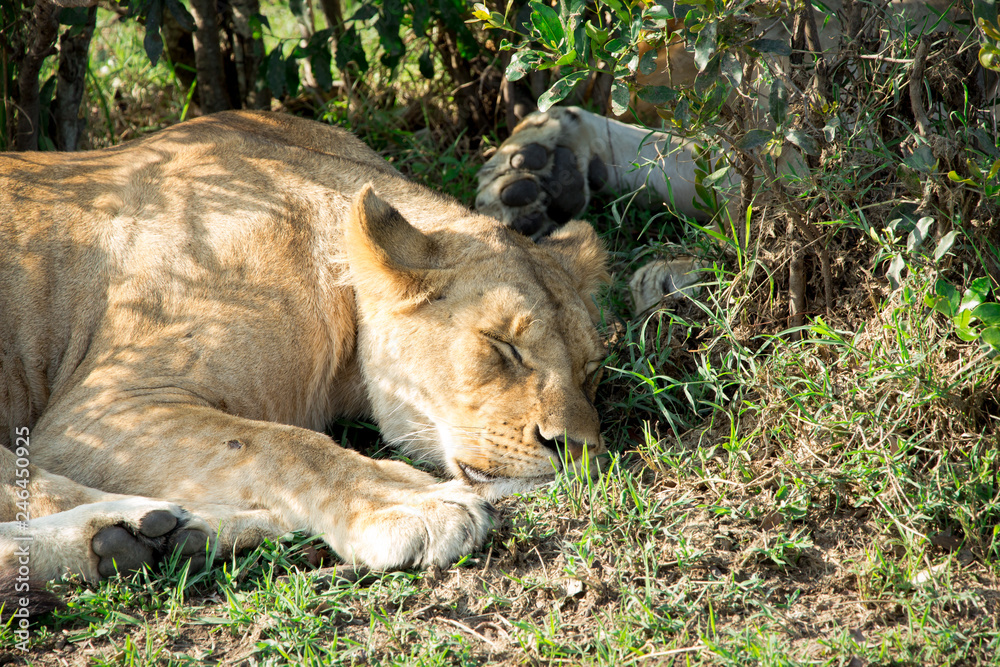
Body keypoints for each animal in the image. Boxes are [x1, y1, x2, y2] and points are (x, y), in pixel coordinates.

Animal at [0, 111, 609, 586]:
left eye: (592, 370)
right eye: (502, 346)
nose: (576, 449)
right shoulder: (101, 407)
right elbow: (282, 445)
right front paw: (409, 505)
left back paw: (155, 539)